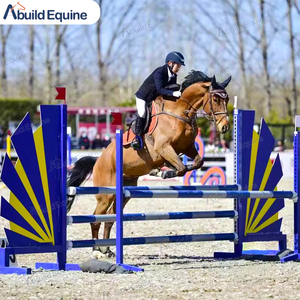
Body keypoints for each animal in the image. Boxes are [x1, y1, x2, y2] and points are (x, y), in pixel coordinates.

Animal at [67, 70, 232, 258]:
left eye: (227, 99)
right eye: (216, 99)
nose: (225, 128)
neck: (179, 112)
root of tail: (99, 160)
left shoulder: (187, 147)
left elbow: (197, 162)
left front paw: (162, 170)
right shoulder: (164, 147)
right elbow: (181, 168)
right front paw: (163, 172)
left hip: (124, 193)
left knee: (109, 218)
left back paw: (106, 249)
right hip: (105, 194)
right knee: (96, 219)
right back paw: (96, 251)